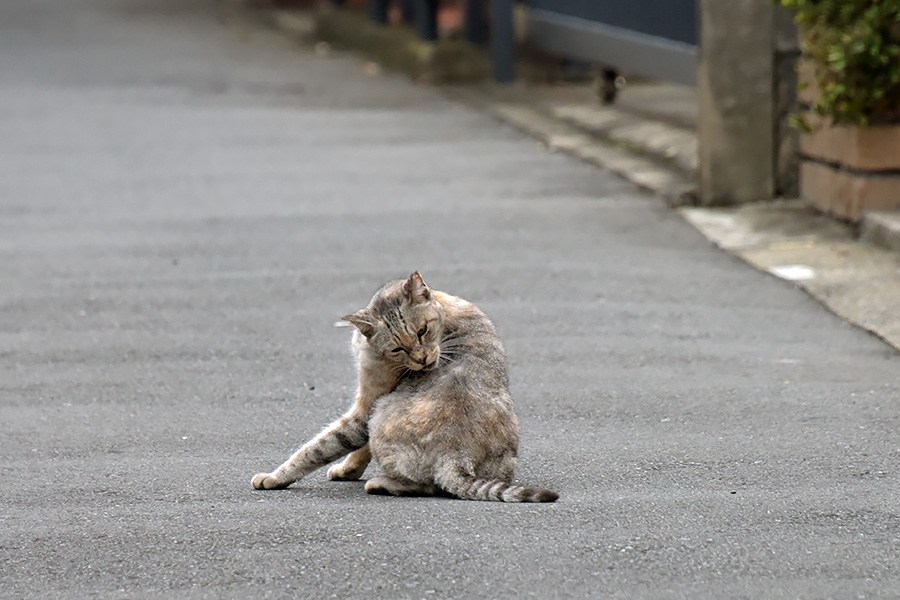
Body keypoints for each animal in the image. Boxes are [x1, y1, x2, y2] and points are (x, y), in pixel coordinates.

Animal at [251, 272, 556, 502]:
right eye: (398, 348)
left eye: (422, 331)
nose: (423, 359)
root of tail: (457, 457)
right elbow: (358, 450)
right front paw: (348, 471)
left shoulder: (368, 406)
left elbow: (317, 448)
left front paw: (274, 478)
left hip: (382, 416)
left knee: (430, 485)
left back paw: (379, 483)